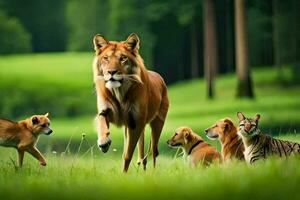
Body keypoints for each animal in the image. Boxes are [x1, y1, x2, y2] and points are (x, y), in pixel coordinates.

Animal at [92, 33, 169, 172]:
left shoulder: (135, 123)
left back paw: (153, 173)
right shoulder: (106, 111)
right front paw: (103, 142)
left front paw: (123, 174)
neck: (119, 92)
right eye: (106, 58)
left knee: (154, 152)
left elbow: (127, 154)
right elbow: (101, 123)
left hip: (157, 123)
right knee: (141, 155)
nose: (111, 72)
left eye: (123, 58)